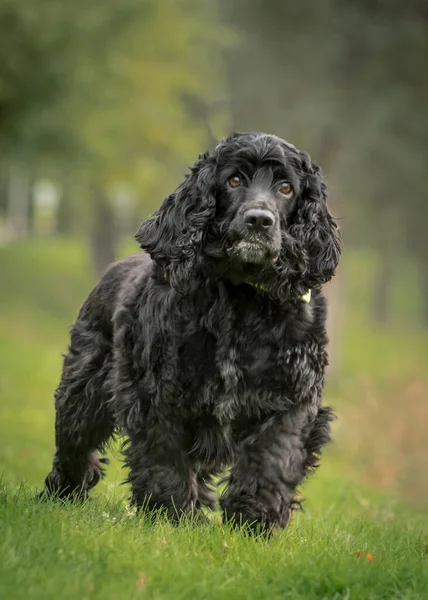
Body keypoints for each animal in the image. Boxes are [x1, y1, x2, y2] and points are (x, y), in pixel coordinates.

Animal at [41, 131, 342, 528]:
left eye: (286, 188)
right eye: (234, 180)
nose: (259, 220)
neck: (241, 299)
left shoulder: (290, 398)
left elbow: (271, 458)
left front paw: (254, 520)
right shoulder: (157, 395)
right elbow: (165, 460)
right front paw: (169, 517)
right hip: (82, 389)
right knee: (74, 444)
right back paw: (62, 492)